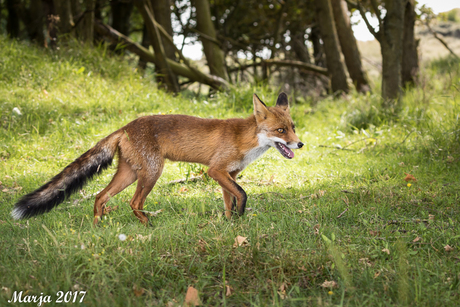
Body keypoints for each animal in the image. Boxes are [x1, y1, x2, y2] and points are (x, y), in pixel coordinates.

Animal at [10, 92, 304, 225]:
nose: (300, 144)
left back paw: (98, 226)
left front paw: (231, 224)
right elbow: (242, 194)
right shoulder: (216, 170)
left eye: (293, 126)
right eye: (281, 131)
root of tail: (126, 126)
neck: (246, 140)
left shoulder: (229, 174)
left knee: (100, 197)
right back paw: (147, 225)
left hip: (130, 173)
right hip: (152, 172)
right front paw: (240, 219)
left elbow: (228, 202)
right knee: (133, 202)